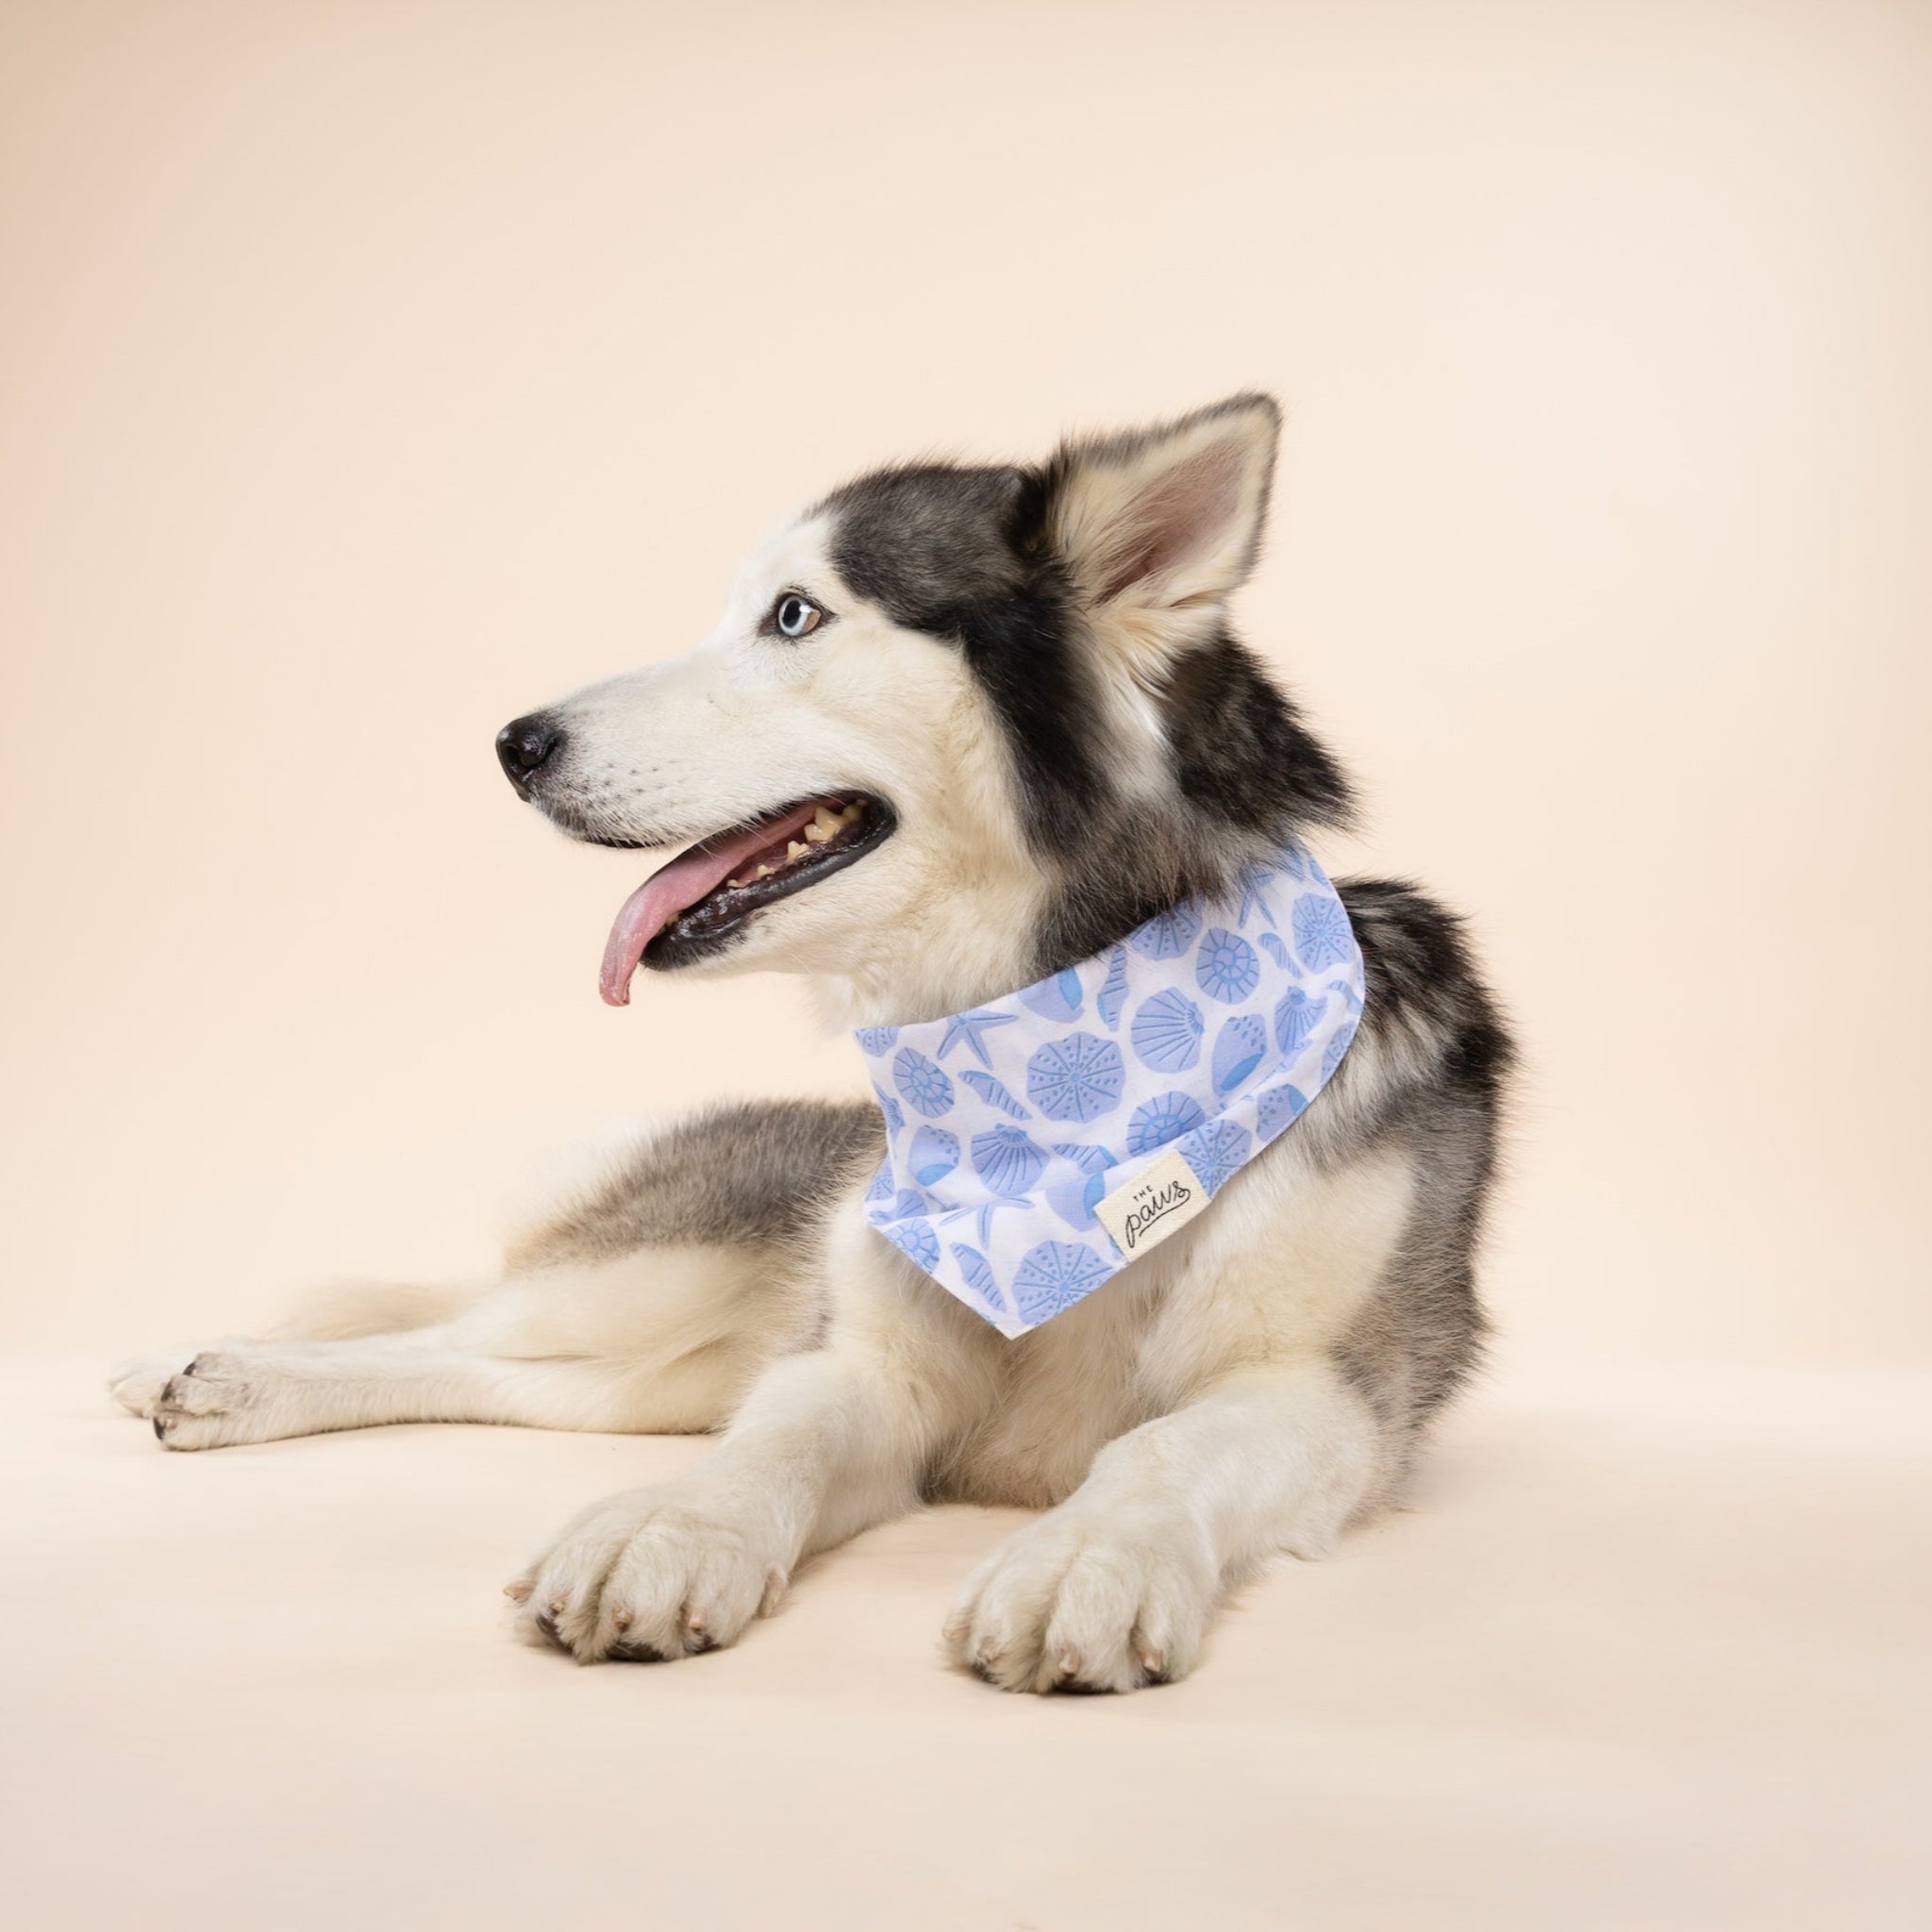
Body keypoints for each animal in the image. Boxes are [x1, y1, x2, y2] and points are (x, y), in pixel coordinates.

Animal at [112, 395, 1514, 1692]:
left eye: (793, 616)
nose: (515, 744)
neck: (1062, 1079)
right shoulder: (864, 1364)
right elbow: (773, 1440)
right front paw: (673, 1527)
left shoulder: (1324, 1391)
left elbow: (1160, 1443)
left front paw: (1083, 1553)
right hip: (659, 1281)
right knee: (454, 1325)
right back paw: (215, 1371)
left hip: (644, 1369)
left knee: (492, 1367)